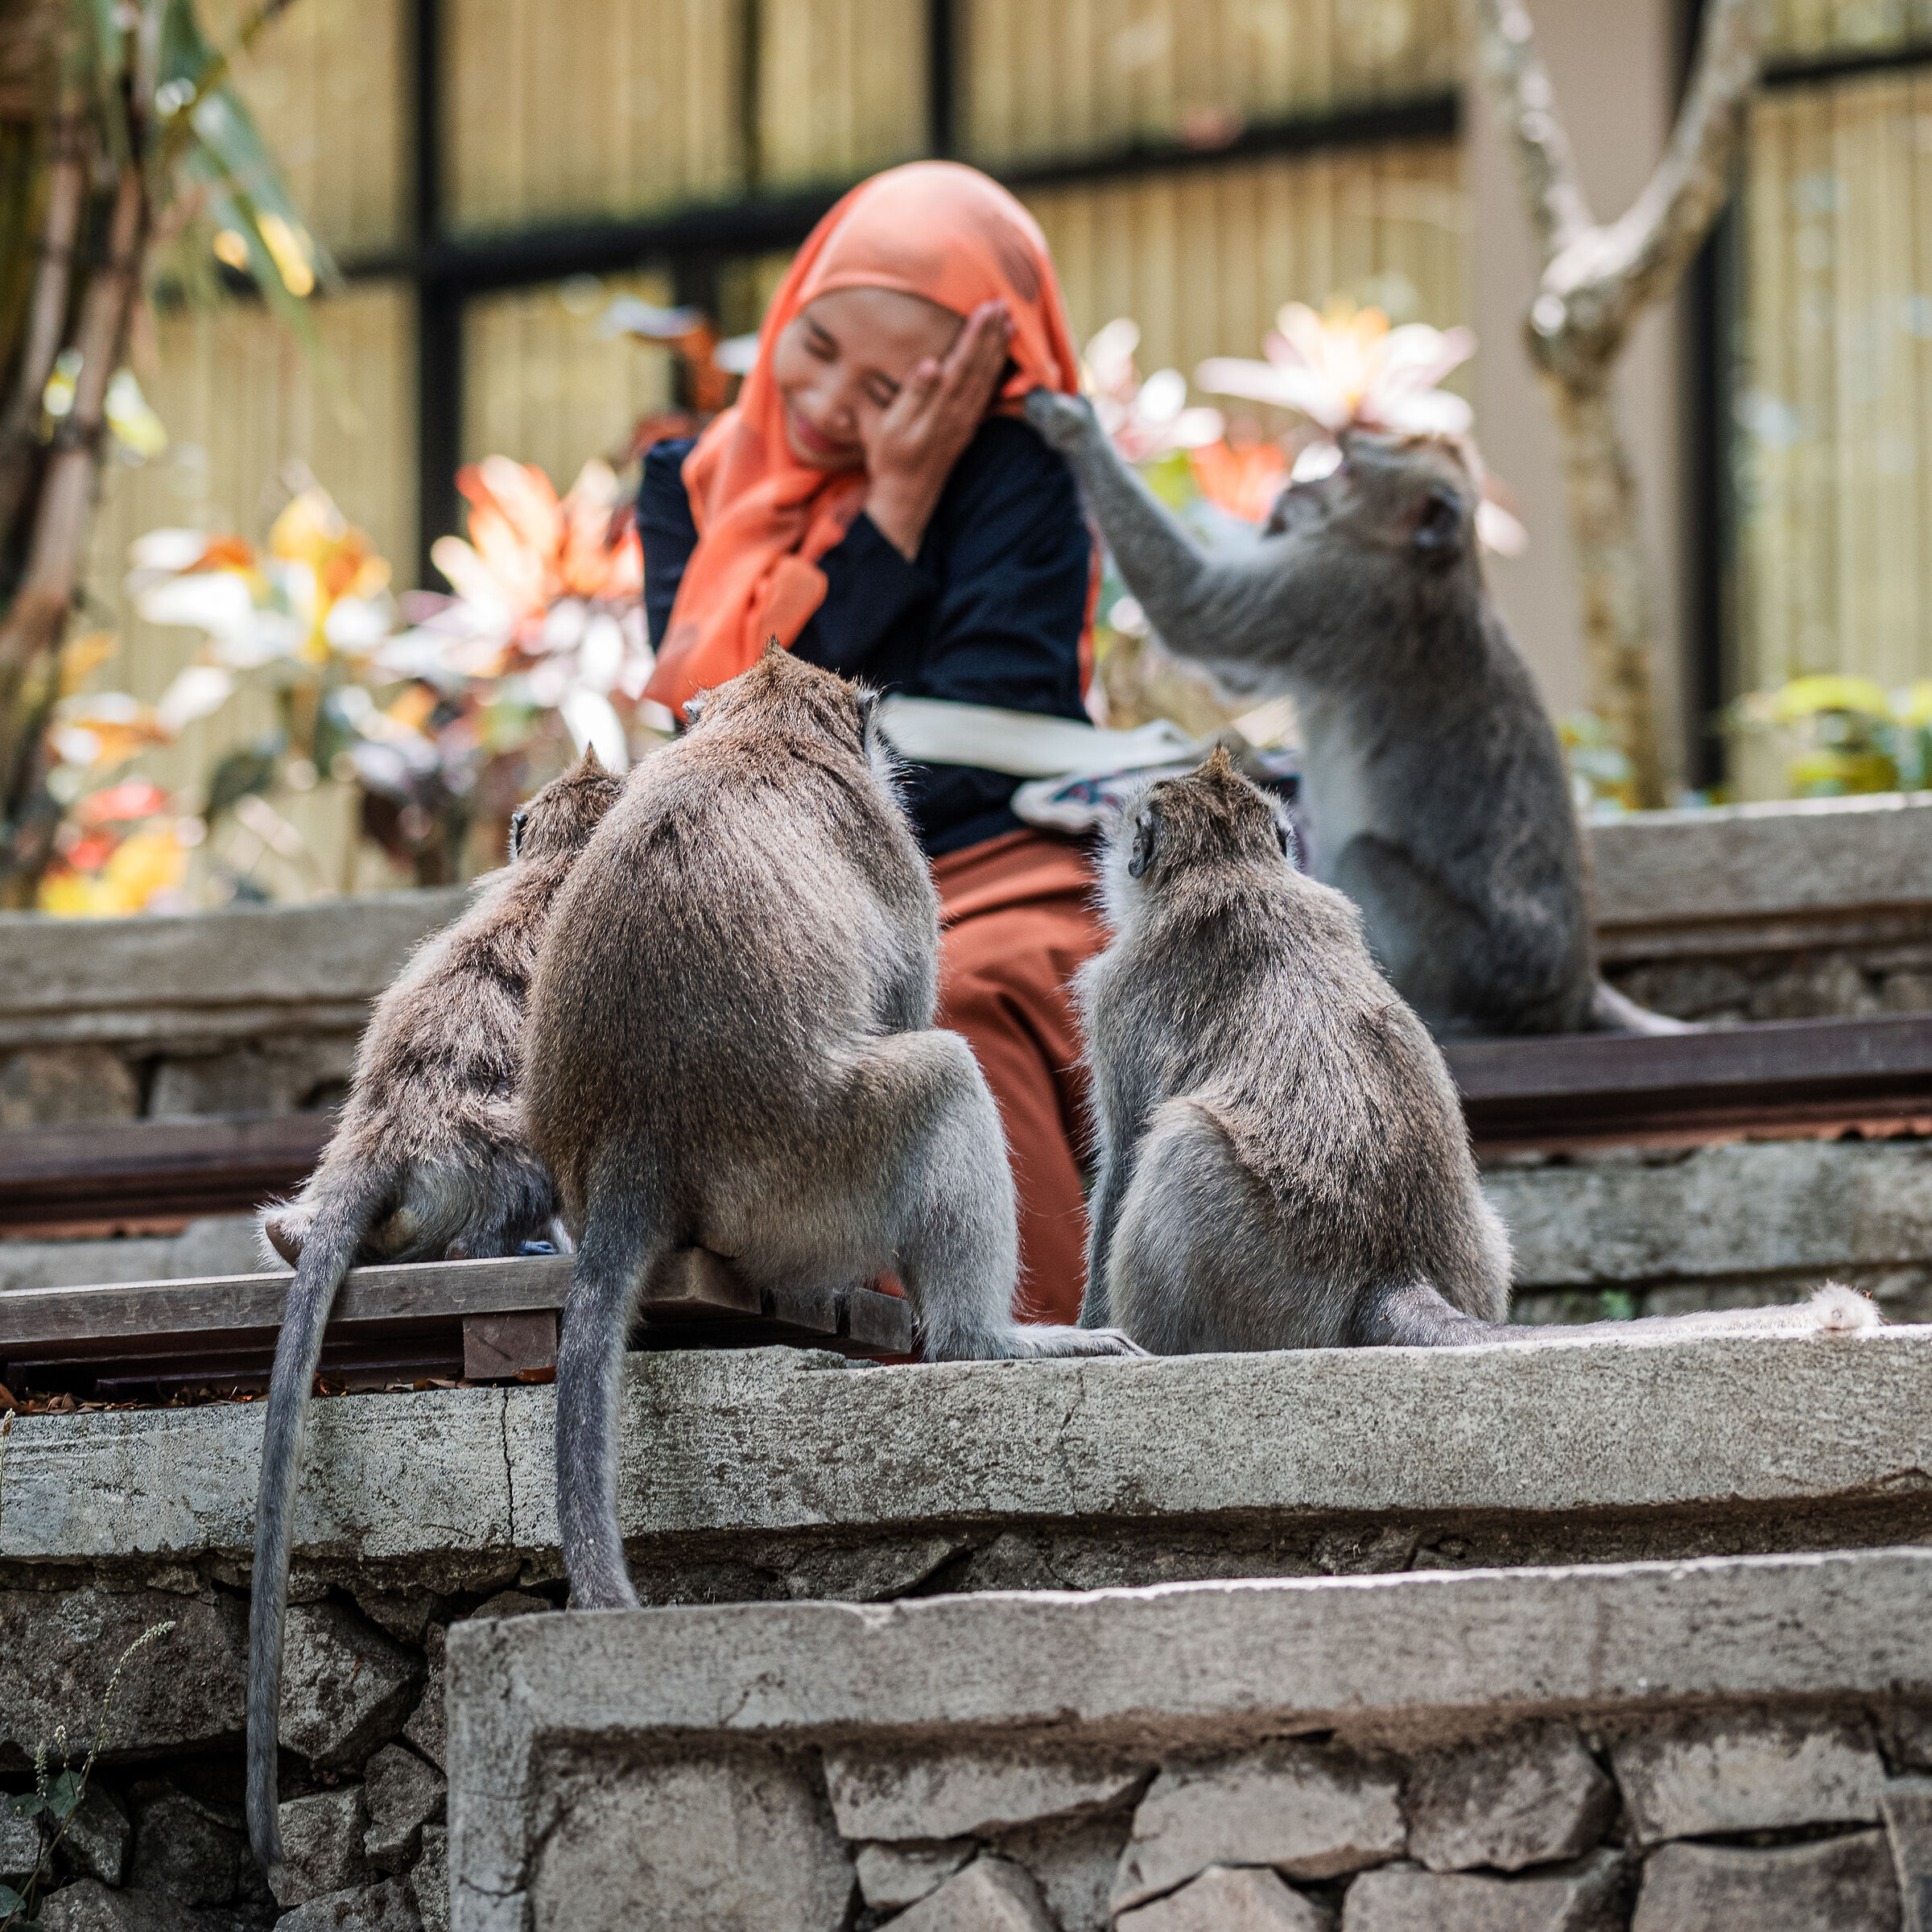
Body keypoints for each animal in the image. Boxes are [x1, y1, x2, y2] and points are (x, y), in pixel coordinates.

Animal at [522, 644, 1144, 1614]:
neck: (759, 730)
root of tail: (638, 1146)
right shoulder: (895, 856)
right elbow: (909, 1011)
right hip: (810, 1192)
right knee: (943, 1077)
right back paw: (984, 1340)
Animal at [1023, 388, 1684, 1042]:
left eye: (1343, 468)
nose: (1298, 483)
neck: (1438, 565)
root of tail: (1576, 992)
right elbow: (1234, 672)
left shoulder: (1337, 588)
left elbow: (1191, 608)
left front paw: (1073, 424)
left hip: (1474, 969)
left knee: (1364, 856)